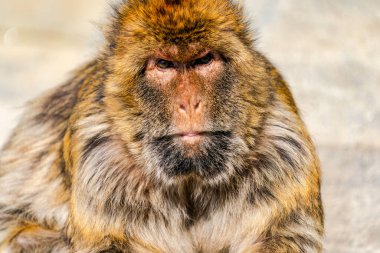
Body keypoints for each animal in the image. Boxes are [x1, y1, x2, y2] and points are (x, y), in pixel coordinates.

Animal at [0, 0, 324, 252]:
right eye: (164, 65)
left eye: (204, 60)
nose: (190, 103)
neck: (189, 179)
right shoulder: (100, 163)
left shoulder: (282, 152)